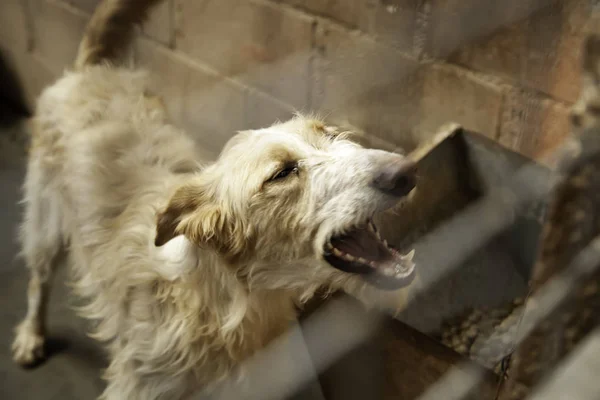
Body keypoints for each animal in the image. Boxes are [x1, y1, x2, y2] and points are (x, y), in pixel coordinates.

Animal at [11, 1, 420, 398]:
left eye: (332, 134)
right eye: (281, 173)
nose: (405, 172)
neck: (228, 305)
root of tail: (90, 71)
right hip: (45, 225)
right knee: (37, 280)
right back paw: (31, 335)